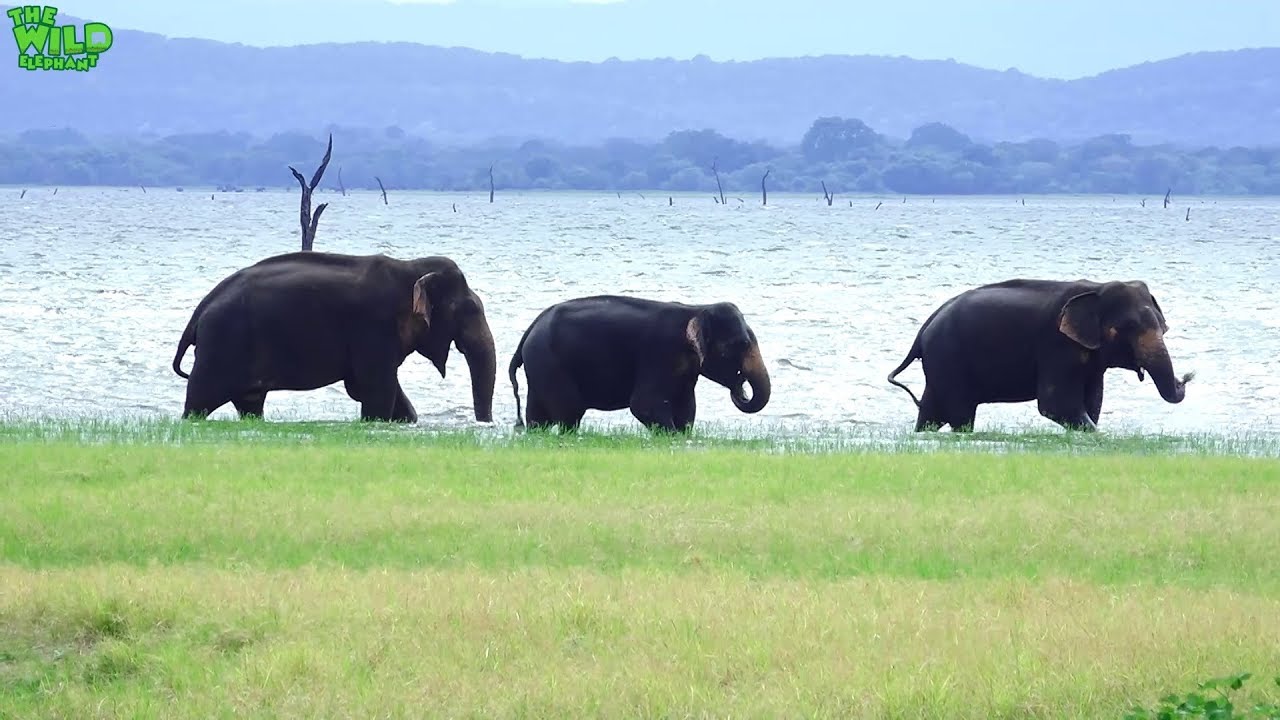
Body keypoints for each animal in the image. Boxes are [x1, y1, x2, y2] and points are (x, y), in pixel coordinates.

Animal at [171, 251, 497, 423]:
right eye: (467, 310)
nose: (485, 424)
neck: (409, 266)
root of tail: (199, 312)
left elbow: (368, 387)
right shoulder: (373, 329)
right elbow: (376, 387)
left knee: (249, 402)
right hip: (221, 346)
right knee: (199, 400)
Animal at [507, 295, 771, 432]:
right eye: (739, 344)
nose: (740, 386)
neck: (696, 308)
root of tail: (529, 331)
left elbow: (687, 407)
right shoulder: (660, 354)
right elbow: (644, 404)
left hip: (540, 368)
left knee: (538, 416)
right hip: (550, 364)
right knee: (570, 412)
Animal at [886, 278, 1193, 432]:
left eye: (1163, 326)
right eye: (1124, 329)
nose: (1187, 376)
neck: (1097, 287)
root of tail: (923, 330)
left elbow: (1093, 401)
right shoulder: (1056, 344)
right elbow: (1055, 404)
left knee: (932, 411)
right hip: (948, 358)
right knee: (960, 414)